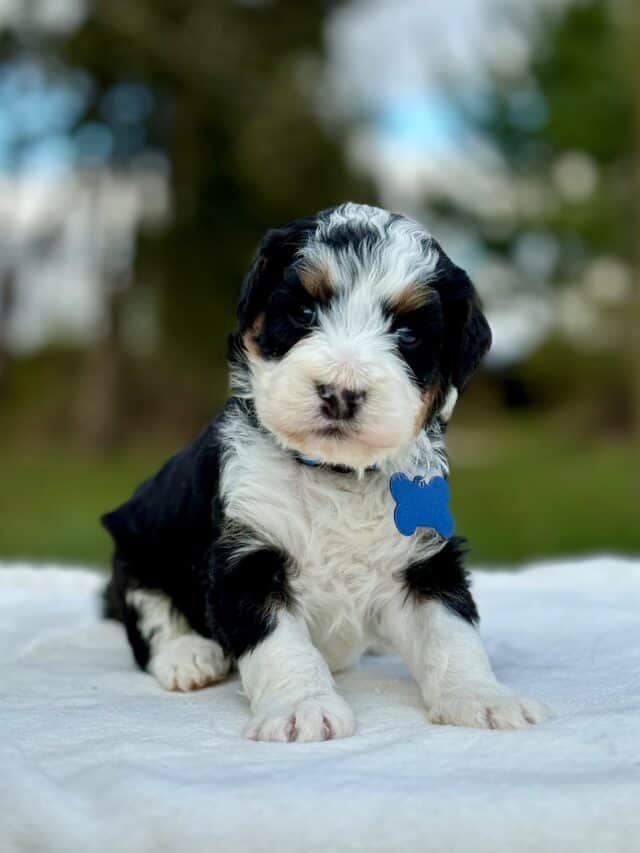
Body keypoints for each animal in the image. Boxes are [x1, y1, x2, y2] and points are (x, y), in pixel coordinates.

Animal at [102, 201, 548, 740]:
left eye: (407, 333)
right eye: (304, 312)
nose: (340, 393)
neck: (336, 473)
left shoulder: (424, 561)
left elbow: (451, 630)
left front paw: (482, 698)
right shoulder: (246, 556)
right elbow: (280, 644)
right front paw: (303, 708)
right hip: (138, 544)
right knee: (149, 612)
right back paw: (188, 656)